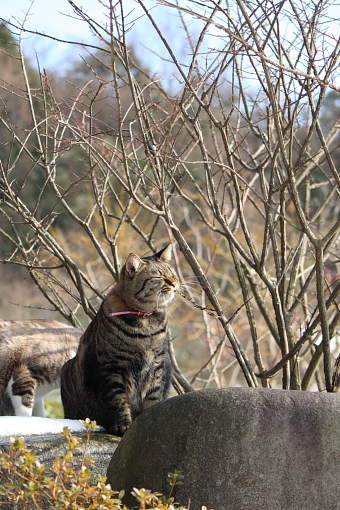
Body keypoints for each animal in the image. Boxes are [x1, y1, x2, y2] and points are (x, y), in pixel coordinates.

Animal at [60, 245, 179, 436]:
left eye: (172, 274)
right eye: (158, 277)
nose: (175, 283)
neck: (145, 324)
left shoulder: (157, 365)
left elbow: (153, 395)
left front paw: (149, 420)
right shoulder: (113, 368)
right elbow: (118, 400)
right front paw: (123, 425)